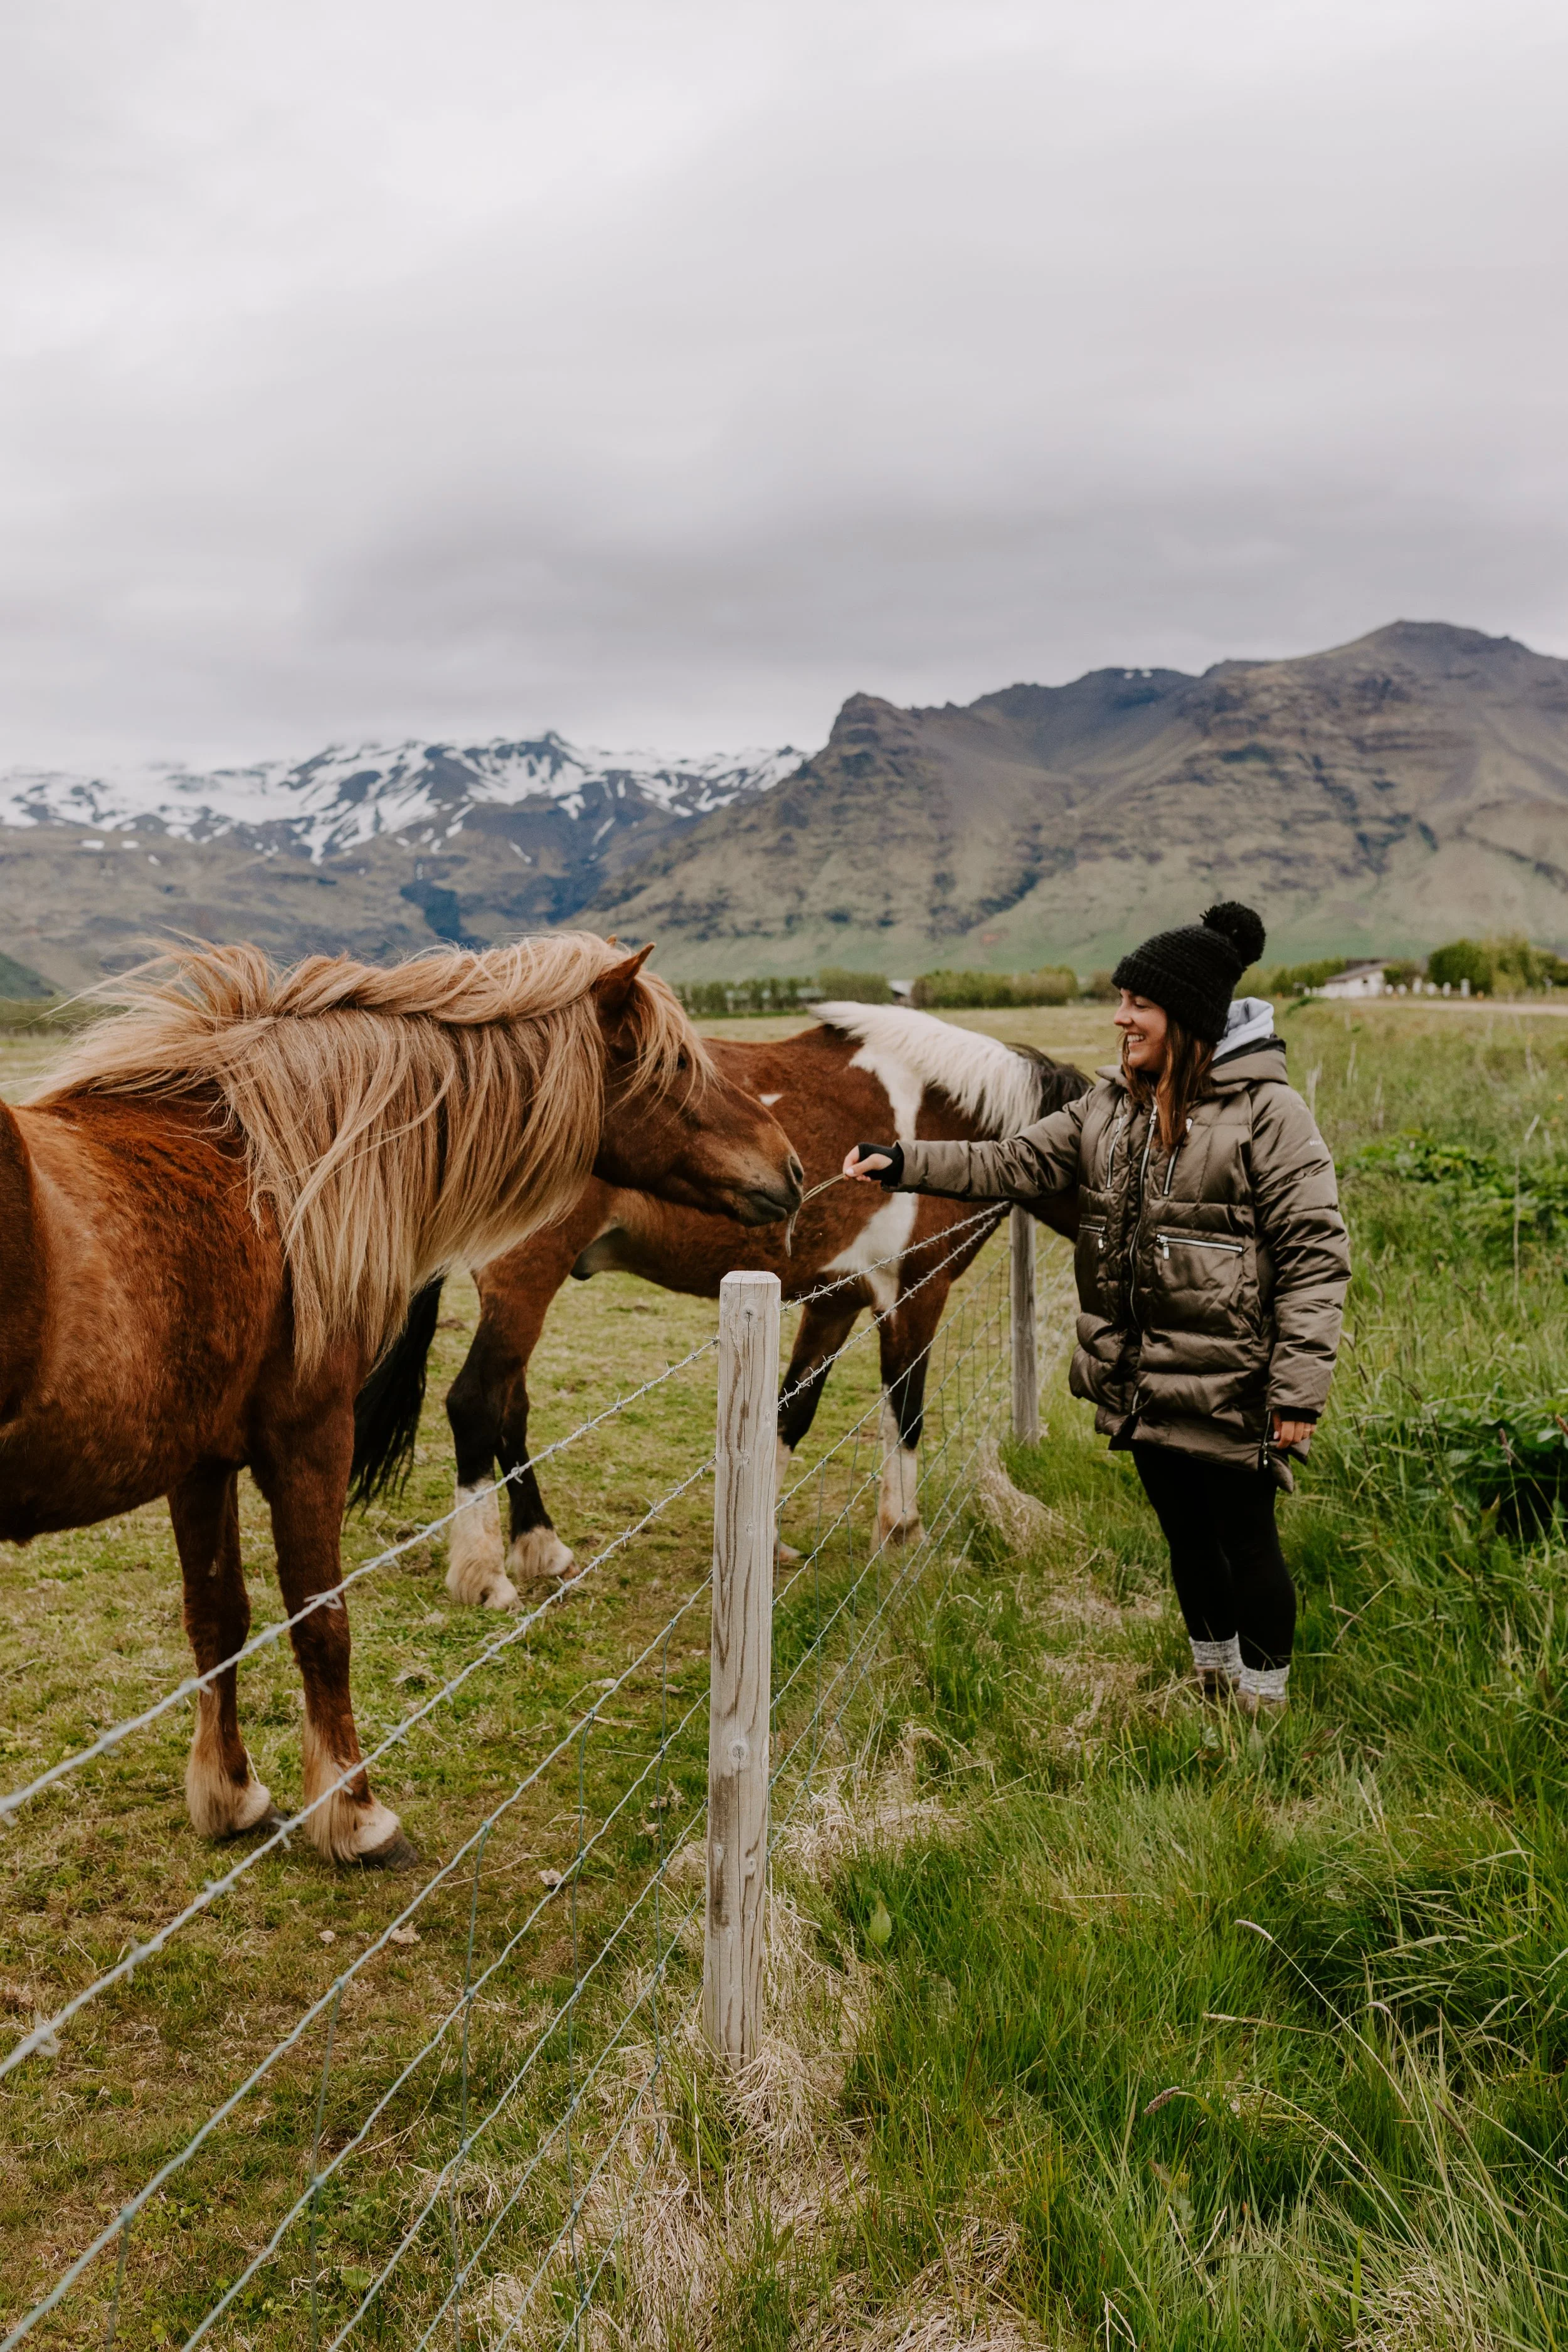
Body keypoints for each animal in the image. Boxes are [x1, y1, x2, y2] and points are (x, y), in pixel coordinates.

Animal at [0, 936, 802, 1865]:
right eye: (672, 1061)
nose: (791, 1166)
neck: (271, 1182)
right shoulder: (309, 1440)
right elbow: (322, 1623)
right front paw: (355, 1813)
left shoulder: (199, 1462)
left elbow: (217, 1619)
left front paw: (229, 1795)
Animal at [352, 1004, 1089, 1609]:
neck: (946, 1123)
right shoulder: (914, 1297)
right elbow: (904, 1414)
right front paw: (901, 1531)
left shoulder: (834, 1303)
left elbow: (791, 1413)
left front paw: (767, 1539)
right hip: (526, 1281)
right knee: (477, 1404)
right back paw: (486, 1575)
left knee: (511, 1408)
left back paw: (542, 1546)